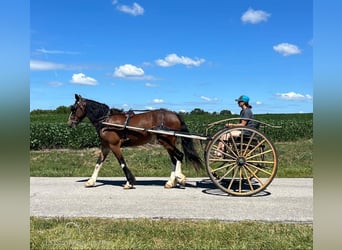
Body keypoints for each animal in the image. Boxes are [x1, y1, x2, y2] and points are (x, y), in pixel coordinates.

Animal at [68, 94, 204, 188]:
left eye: (74, 108)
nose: (69, 123)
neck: (106, 120)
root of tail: (174, 114)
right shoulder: (105, 146)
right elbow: (98, 163)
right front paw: (90, 181)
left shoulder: (114, 145)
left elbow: (122, 163)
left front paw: (129, 182)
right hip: (167, 142)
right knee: (174, 159)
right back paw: (171, 182)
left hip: (166, 140)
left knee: (179, 156)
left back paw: (179, 178)